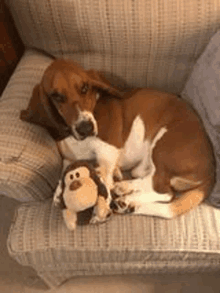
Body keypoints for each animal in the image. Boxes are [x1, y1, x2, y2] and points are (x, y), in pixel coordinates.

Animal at [19, 59, 216, 222]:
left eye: (84, 88)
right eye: (57, 96)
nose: (86, 128)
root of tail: (211, 174)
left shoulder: (108, 152)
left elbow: (104, 179)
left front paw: (101, 207)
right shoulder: (69, 158)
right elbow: (65, 171)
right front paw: (59, 191)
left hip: (162, 146)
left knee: (165, 191)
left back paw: (125, 197)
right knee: (152, 183)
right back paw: (126, 197)